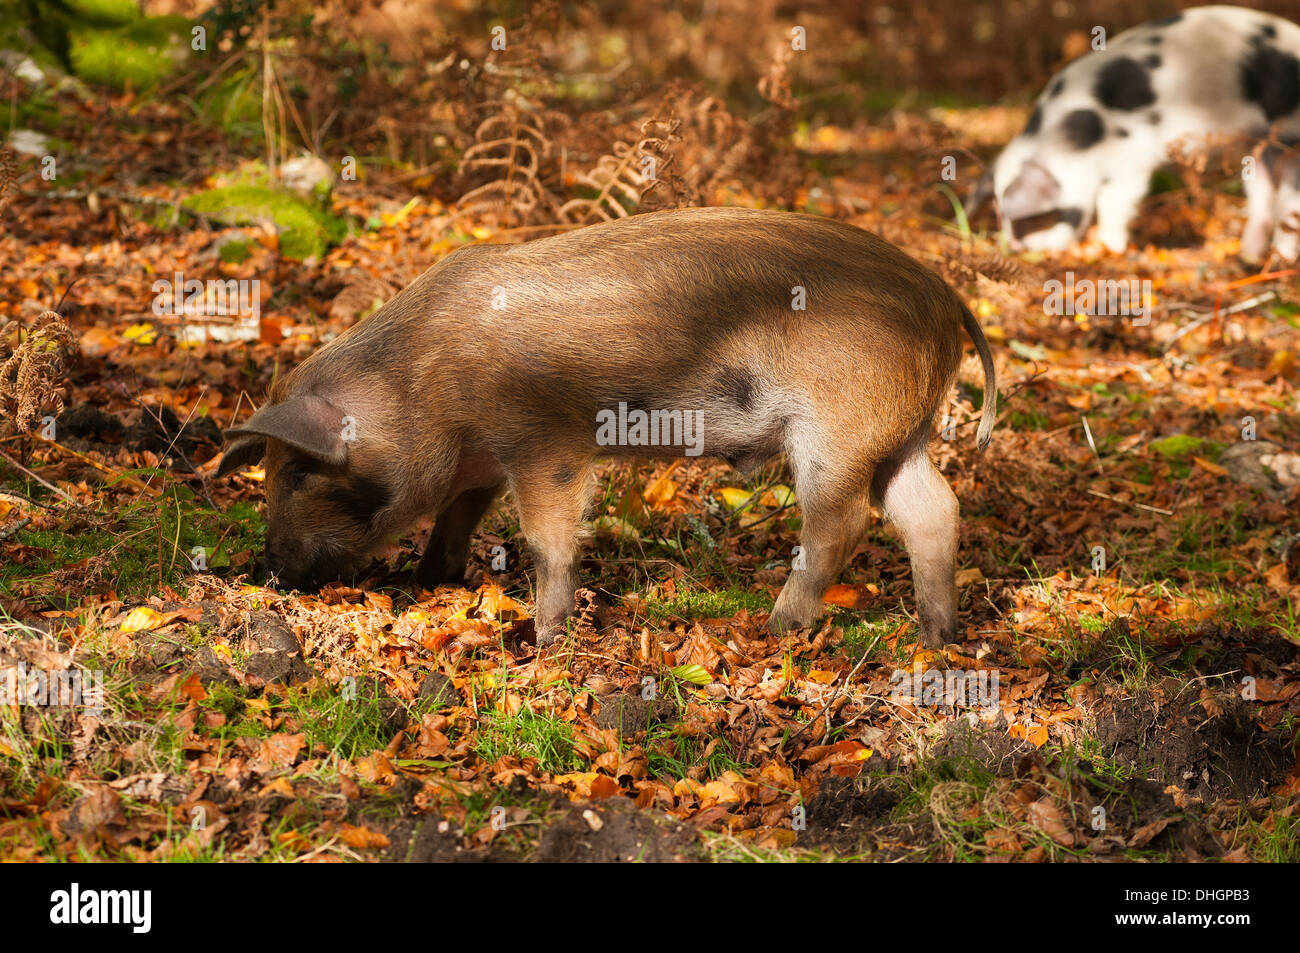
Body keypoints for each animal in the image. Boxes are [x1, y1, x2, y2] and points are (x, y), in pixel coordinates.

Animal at [218, 206, 998, 647]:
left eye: (298, 471)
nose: (270, 570)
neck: (419, 385)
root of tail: (943, 293)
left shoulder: (546, 442)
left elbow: (548, 538)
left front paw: (543, 639)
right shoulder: (481, 459)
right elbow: (457, 514)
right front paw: (429, 581)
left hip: (838, 430)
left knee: (842, 522)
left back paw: (774, 628)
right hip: (899, 433)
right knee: (934, 510)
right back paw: (936, 638)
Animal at [977, 6, 1300, 263]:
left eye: (1034, 219)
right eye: (1000, 218)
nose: (1015, 246)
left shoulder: (1131, 157)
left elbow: (1115, 201)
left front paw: (1109, 248)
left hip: (1289, 133)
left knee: (1290, 203)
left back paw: (1282, 258)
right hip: (1258, 149)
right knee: (1263, 197)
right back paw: (1249, 257)